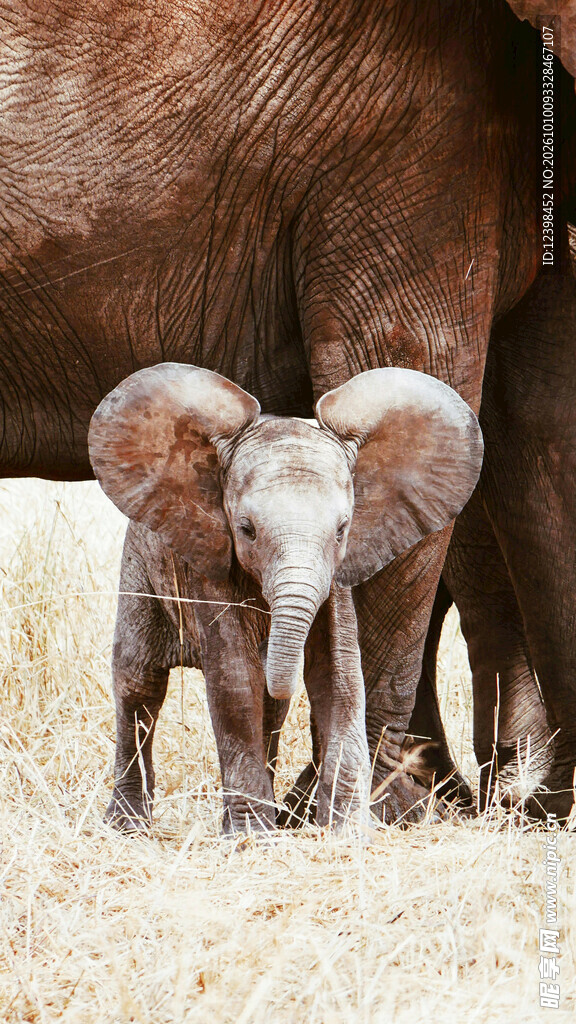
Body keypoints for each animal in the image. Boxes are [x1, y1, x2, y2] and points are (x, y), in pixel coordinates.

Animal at [88, 363, 482, 832]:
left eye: (342, 530)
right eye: (246, 530)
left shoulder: (336, 581)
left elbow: (340, 678)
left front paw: (343, 833)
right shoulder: (210, 562)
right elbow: (235, 680)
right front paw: (250, 837)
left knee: (269, 713)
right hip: (141, 567)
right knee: (138, 683)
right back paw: (127, 825)